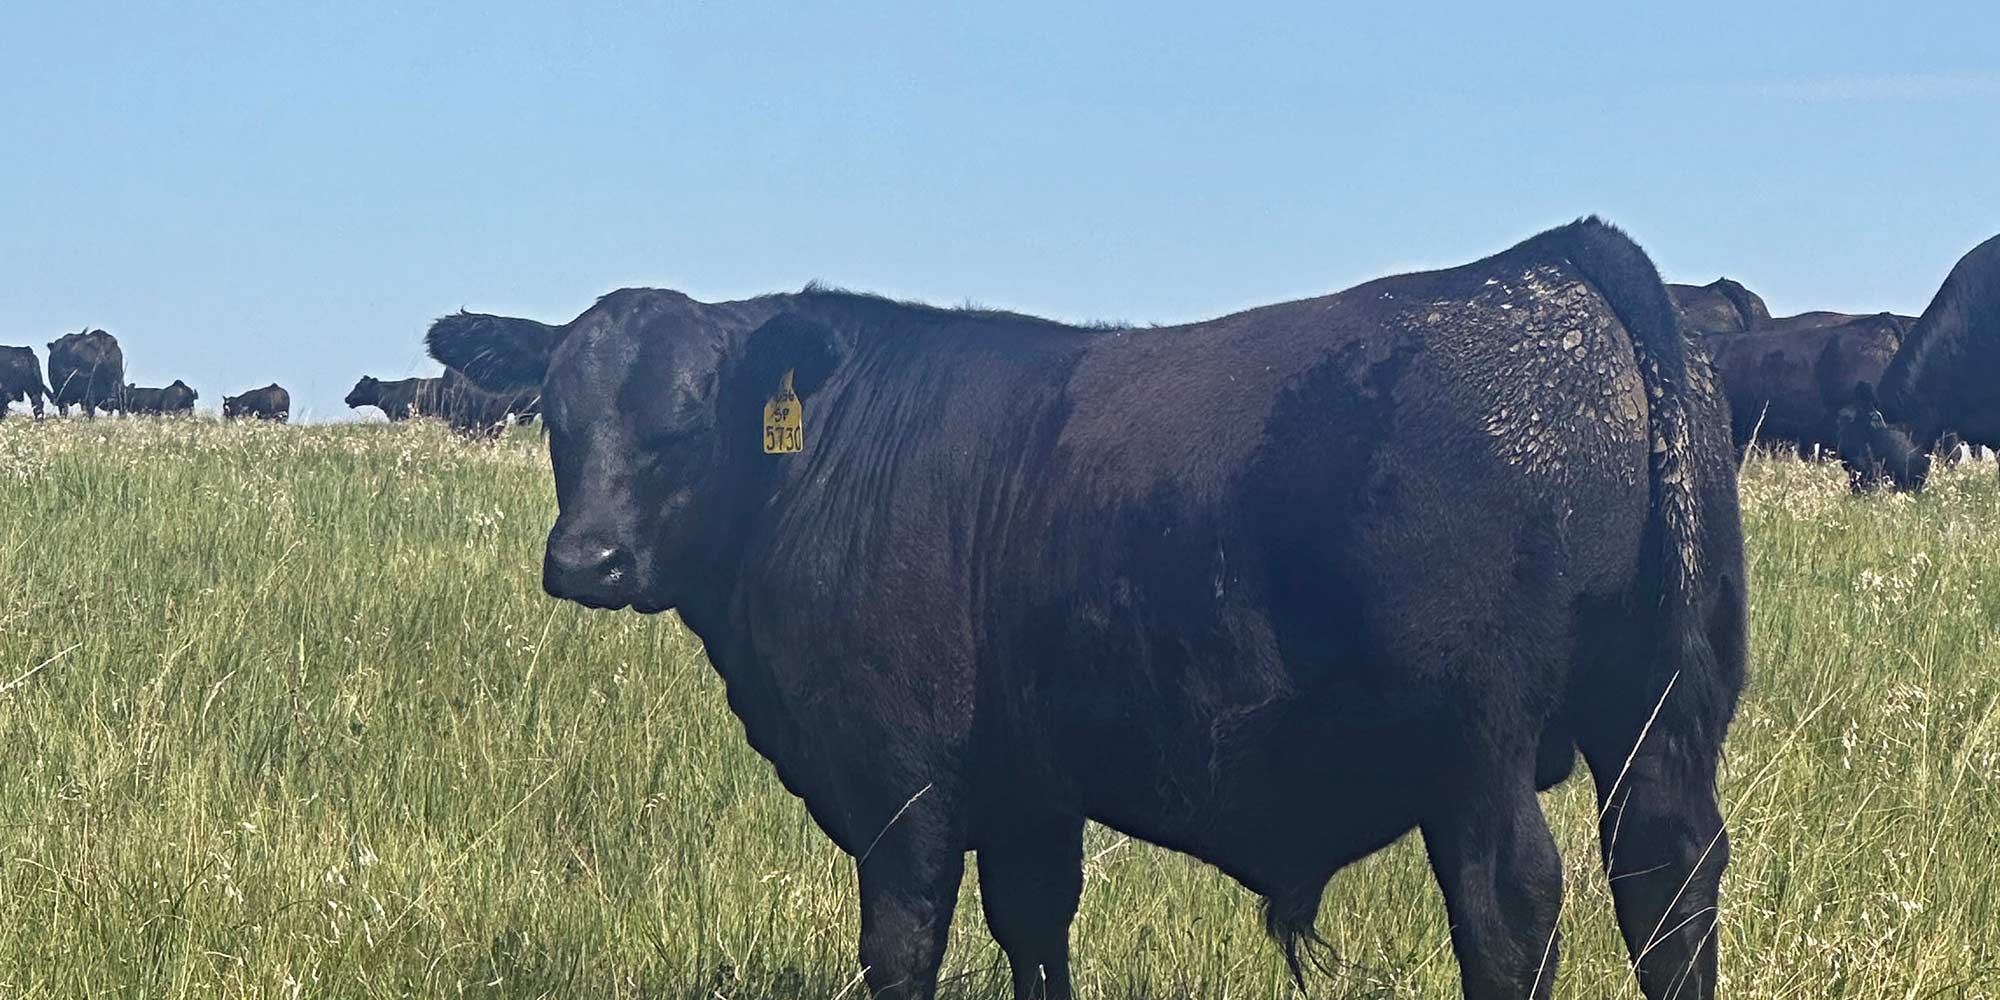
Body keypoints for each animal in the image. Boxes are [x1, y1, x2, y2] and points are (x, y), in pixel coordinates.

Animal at [430, 218, 1745, 1000]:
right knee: (1667, 887)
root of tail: (1547, 262)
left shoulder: (900, 781)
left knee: (1508, 908)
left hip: (1475, 749)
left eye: (687, 418)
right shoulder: (1027, 789)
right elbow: (1034, 927)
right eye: (557, 414)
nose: (585, 558)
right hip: (1660, 719)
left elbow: (902, 940)